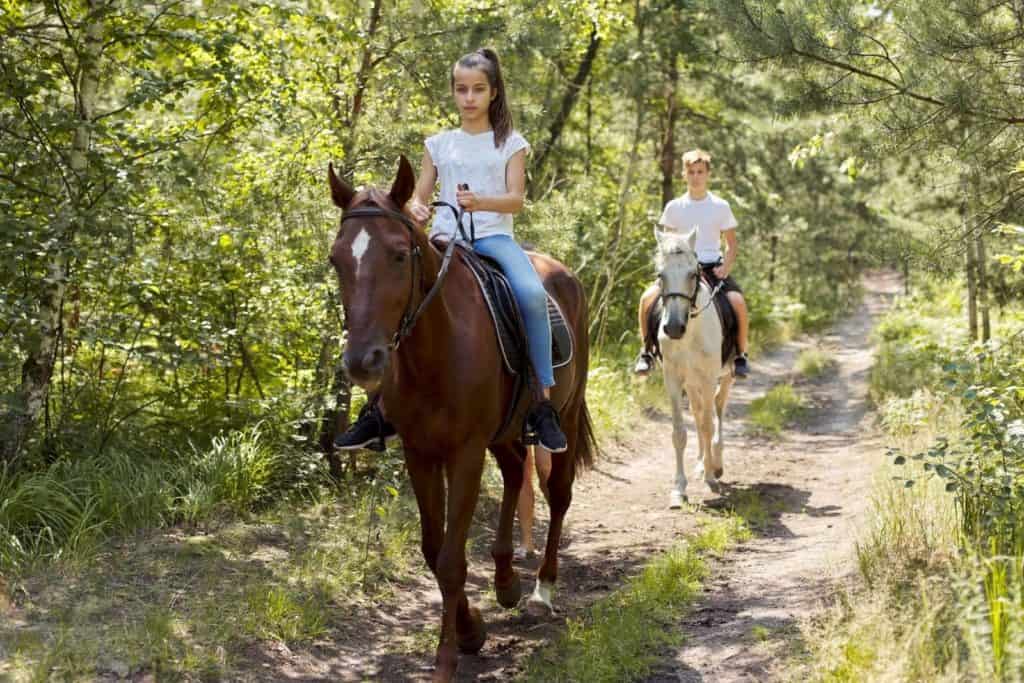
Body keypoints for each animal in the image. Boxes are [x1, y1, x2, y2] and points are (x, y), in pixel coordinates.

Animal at [327, 157, 598, 679]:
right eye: (336, 259)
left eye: (399, 255)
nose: (362, 362)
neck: (436, 346)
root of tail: (567, 276)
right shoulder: (420, 453)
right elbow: (434, 550)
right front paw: (472, 629)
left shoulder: (465, 453)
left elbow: (452, 557)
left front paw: (447, 657)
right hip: (505, 431)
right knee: (515, 472)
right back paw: (506, 581)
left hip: (567, 414)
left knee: (557, 494)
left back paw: (541, 590)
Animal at [655, 229, 737, 507]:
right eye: (660, 275)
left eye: (693, 274)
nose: (673, 328)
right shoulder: (673, 380)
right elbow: (680, 432)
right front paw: (679, 489)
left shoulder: (709, 378)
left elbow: (708, 424)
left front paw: (712, 477)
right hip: (691, 384)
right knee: (700, 413)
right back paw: (703, 463)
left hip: (726, 376)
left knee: (717, 408)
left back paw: (717, 462)